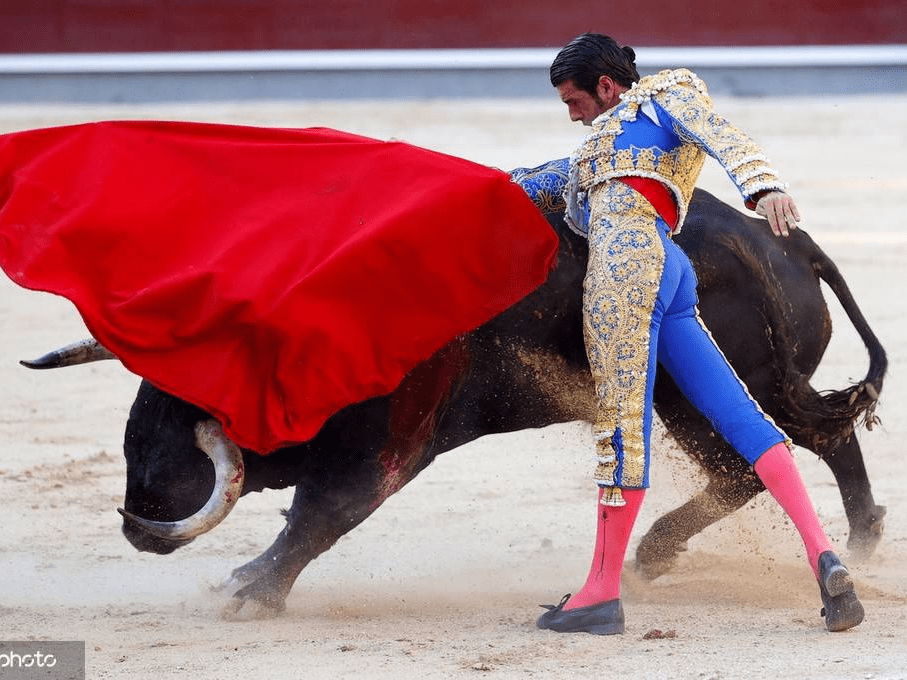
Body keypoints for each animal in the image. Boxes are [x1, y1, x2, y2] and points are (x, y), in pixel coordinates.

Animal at [35, 189, 888, 612]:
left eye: (188, 408)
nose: (137, 520)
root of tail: (776, 237)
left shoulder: (391, 437)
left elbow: (325, 510)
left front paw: (249, 591)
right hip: (722, 391)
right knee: (803, 441)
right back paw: (852, 545)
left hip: (709, 389)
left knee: (768, 455)